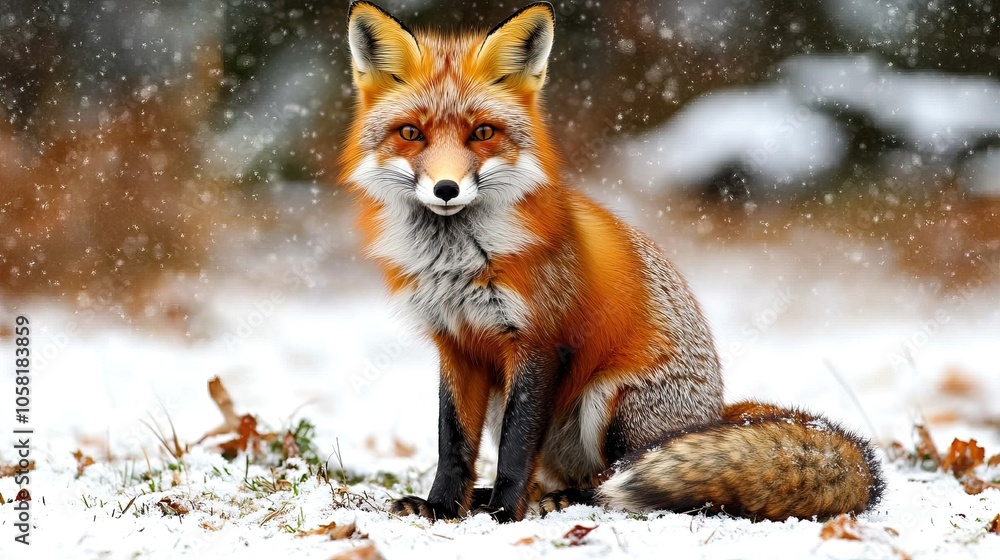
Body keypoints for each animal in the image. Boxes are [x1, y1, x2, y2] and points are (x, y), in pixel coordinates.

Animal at [341, 1, 885, 523]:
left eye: (483, 132)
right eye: (411, 133)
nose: (446, 189)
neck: (458, 263)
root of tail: (715, 413)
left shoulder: (540, 342)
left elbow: (516, 448)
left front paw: (501, 514)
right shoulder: (456, 345)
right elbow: (452, 442)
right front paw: (441, 507)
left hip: (609, 401)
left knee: (613, 477)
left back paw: (561, 500)